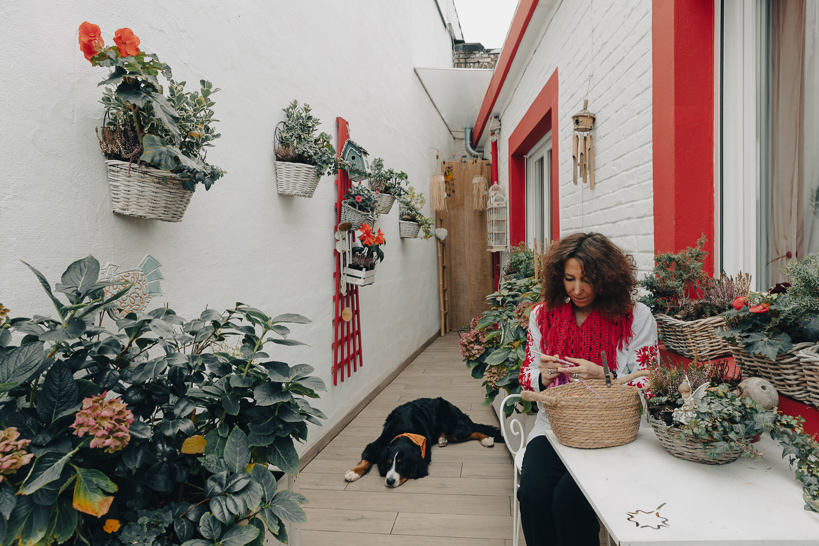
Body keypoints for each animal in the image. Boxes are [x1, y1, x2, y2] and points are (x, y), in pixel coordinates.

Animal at [344, 397, 503, 488]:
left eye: (403, 464)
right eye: (388, 463)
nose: (389, 481)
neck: (405, 432)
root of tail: (445, 401)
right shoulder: (375, 446)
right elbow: (366, 460)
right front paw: (354, 472)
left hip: (455, 428)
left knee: (473, 429)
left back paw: (487, 439)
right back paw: (442, 439)